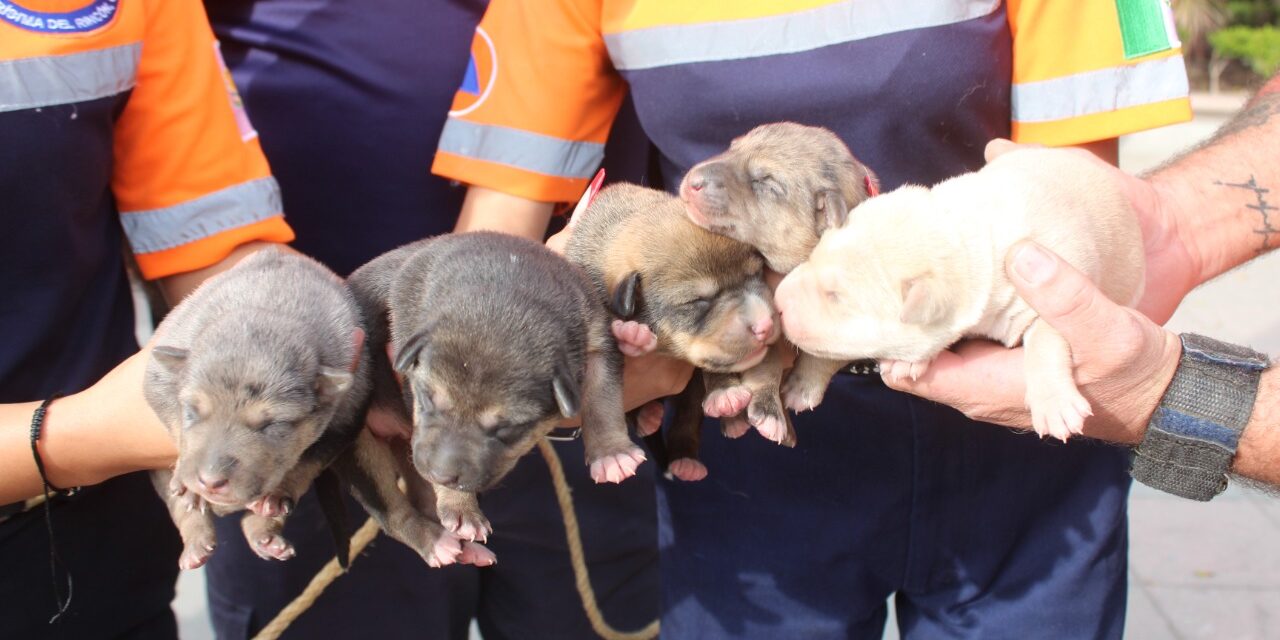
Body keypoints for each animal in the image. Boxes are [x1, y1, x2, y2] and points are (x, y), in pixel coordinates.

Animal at [148, 248, 373, 570]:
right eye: (191, 411)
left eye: (272, 426)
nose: (210, 482)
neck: (271, 307)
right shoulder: (157, 376)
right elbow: (171, 419)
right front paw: (186, 481)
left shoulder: (347, 415)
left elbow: (307, 461)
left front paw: (277, 495)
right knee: (180, 509)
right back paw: (195, 543)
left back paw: (264, 534)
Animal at [345, 232, 645, 542]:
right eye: (426, 398)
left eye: (508, 428)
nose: (439, 474)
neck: (507, 292)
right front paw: (462, 510)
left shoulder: (596, 333)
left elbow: (602, 398)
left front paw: (612, 454)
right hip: (358, 445)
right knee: (394, 513)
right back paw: (438, 542)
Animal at [773, 146, 1146, 442]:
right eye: (812, 255)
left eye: (835, 295)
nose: (777, 302)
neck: (962, 233)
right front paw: (803, 383)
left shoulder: (1048, 282)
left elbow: (1045, 336)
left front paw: (1054, 403)